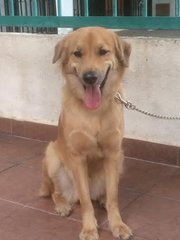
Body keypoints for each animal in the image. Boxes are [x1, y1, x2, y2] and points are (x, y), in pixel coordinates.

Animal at [39, 26, 132, 240]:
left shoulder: (112, 153)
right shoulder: (78, 158)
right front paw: (89, 228)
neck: (94, 112)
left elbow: (114, 197)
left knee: (103, 194)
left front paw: (117, 224)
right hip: (52, 155)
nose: (90, 77)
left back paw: (102, 199)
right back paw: (63, 205)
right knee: (57, 192)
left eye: (103, 51)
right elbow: (86, 202)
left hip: (121, 159)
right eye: (77, 53)